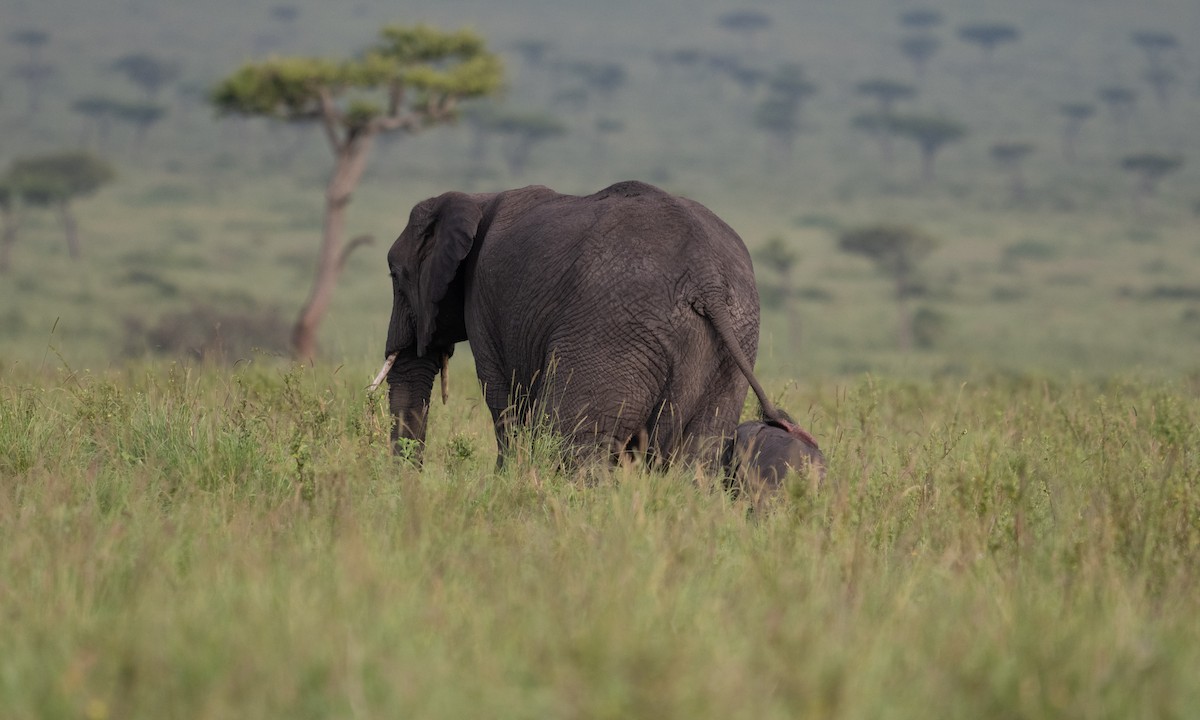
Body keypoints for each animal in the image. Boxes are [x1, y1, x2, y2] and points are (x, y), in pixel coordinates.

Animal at [372, 180, 789, 468]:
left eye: (395, 274)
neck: (477, 198)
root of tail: (706, 281)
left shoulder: (484, 303)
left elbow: (506, 403)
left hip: (612, 332)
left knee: (574, 441)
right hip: (733, 339)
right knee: (697, 451)